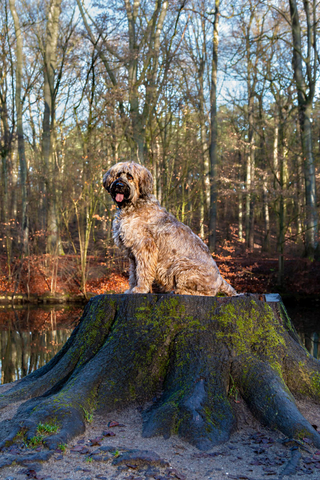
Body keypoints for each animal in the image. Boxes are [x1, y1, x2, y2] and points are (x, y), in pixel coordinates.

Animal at [103, 162, 238, 296]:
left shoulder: (144, 247)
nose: (119, 185)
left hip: (181, 265)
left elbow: (142, 271)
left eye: (130, 177)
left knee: (201, 293)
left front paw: (141, 288)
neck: (132, 205)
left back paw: (179, 291)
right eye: (118, 175)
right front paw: (132, 288)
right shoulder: (132, 253)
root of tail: (220, 279)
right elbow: (133, 273)